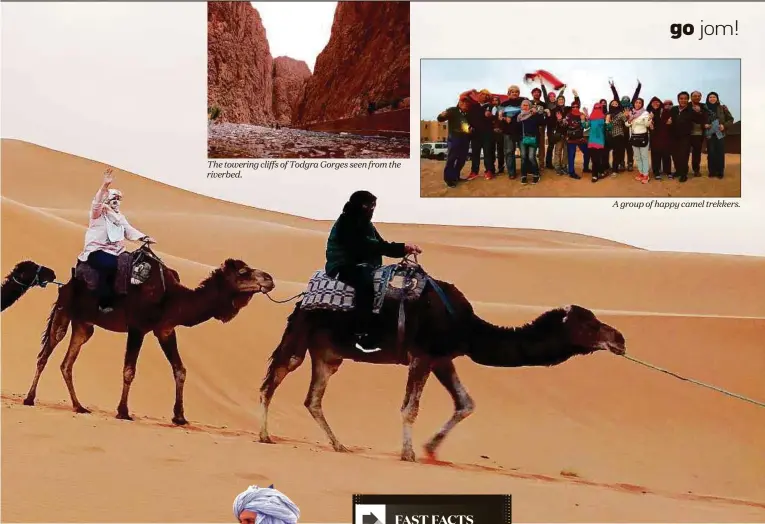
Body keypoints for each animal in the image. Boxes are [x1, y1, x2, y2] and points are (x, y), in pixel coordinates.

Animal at [23, 246, 274, 426]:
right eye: (243, 272)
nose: (270, 279)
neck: (173, 298)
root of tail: (66, 283)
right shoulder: (137, 327)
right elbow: (129, 370)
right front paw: (123, 411)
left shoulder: (165, 329)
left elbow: (180, 370)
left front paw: (179, 417)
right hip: (64, 311)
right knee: (45, 353)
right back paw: (29, 399)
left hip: (84, 325)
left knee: (67, 363)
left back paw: (79, 406)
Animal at [260, 272, 624, 460]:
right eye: (590, 325)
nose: (620, 339)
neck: (467, 328)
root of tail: (302, 299)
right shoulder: (422, 356)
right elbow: (410, 408)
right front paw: (409, 453)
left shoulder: (443, 359)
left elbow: (466, 403)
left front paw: (431, 448)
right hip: (302, 334)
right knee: (274, 378)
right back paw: (265, 436)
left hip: (328, 353)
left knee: (313, 398)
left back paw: (339, 445)